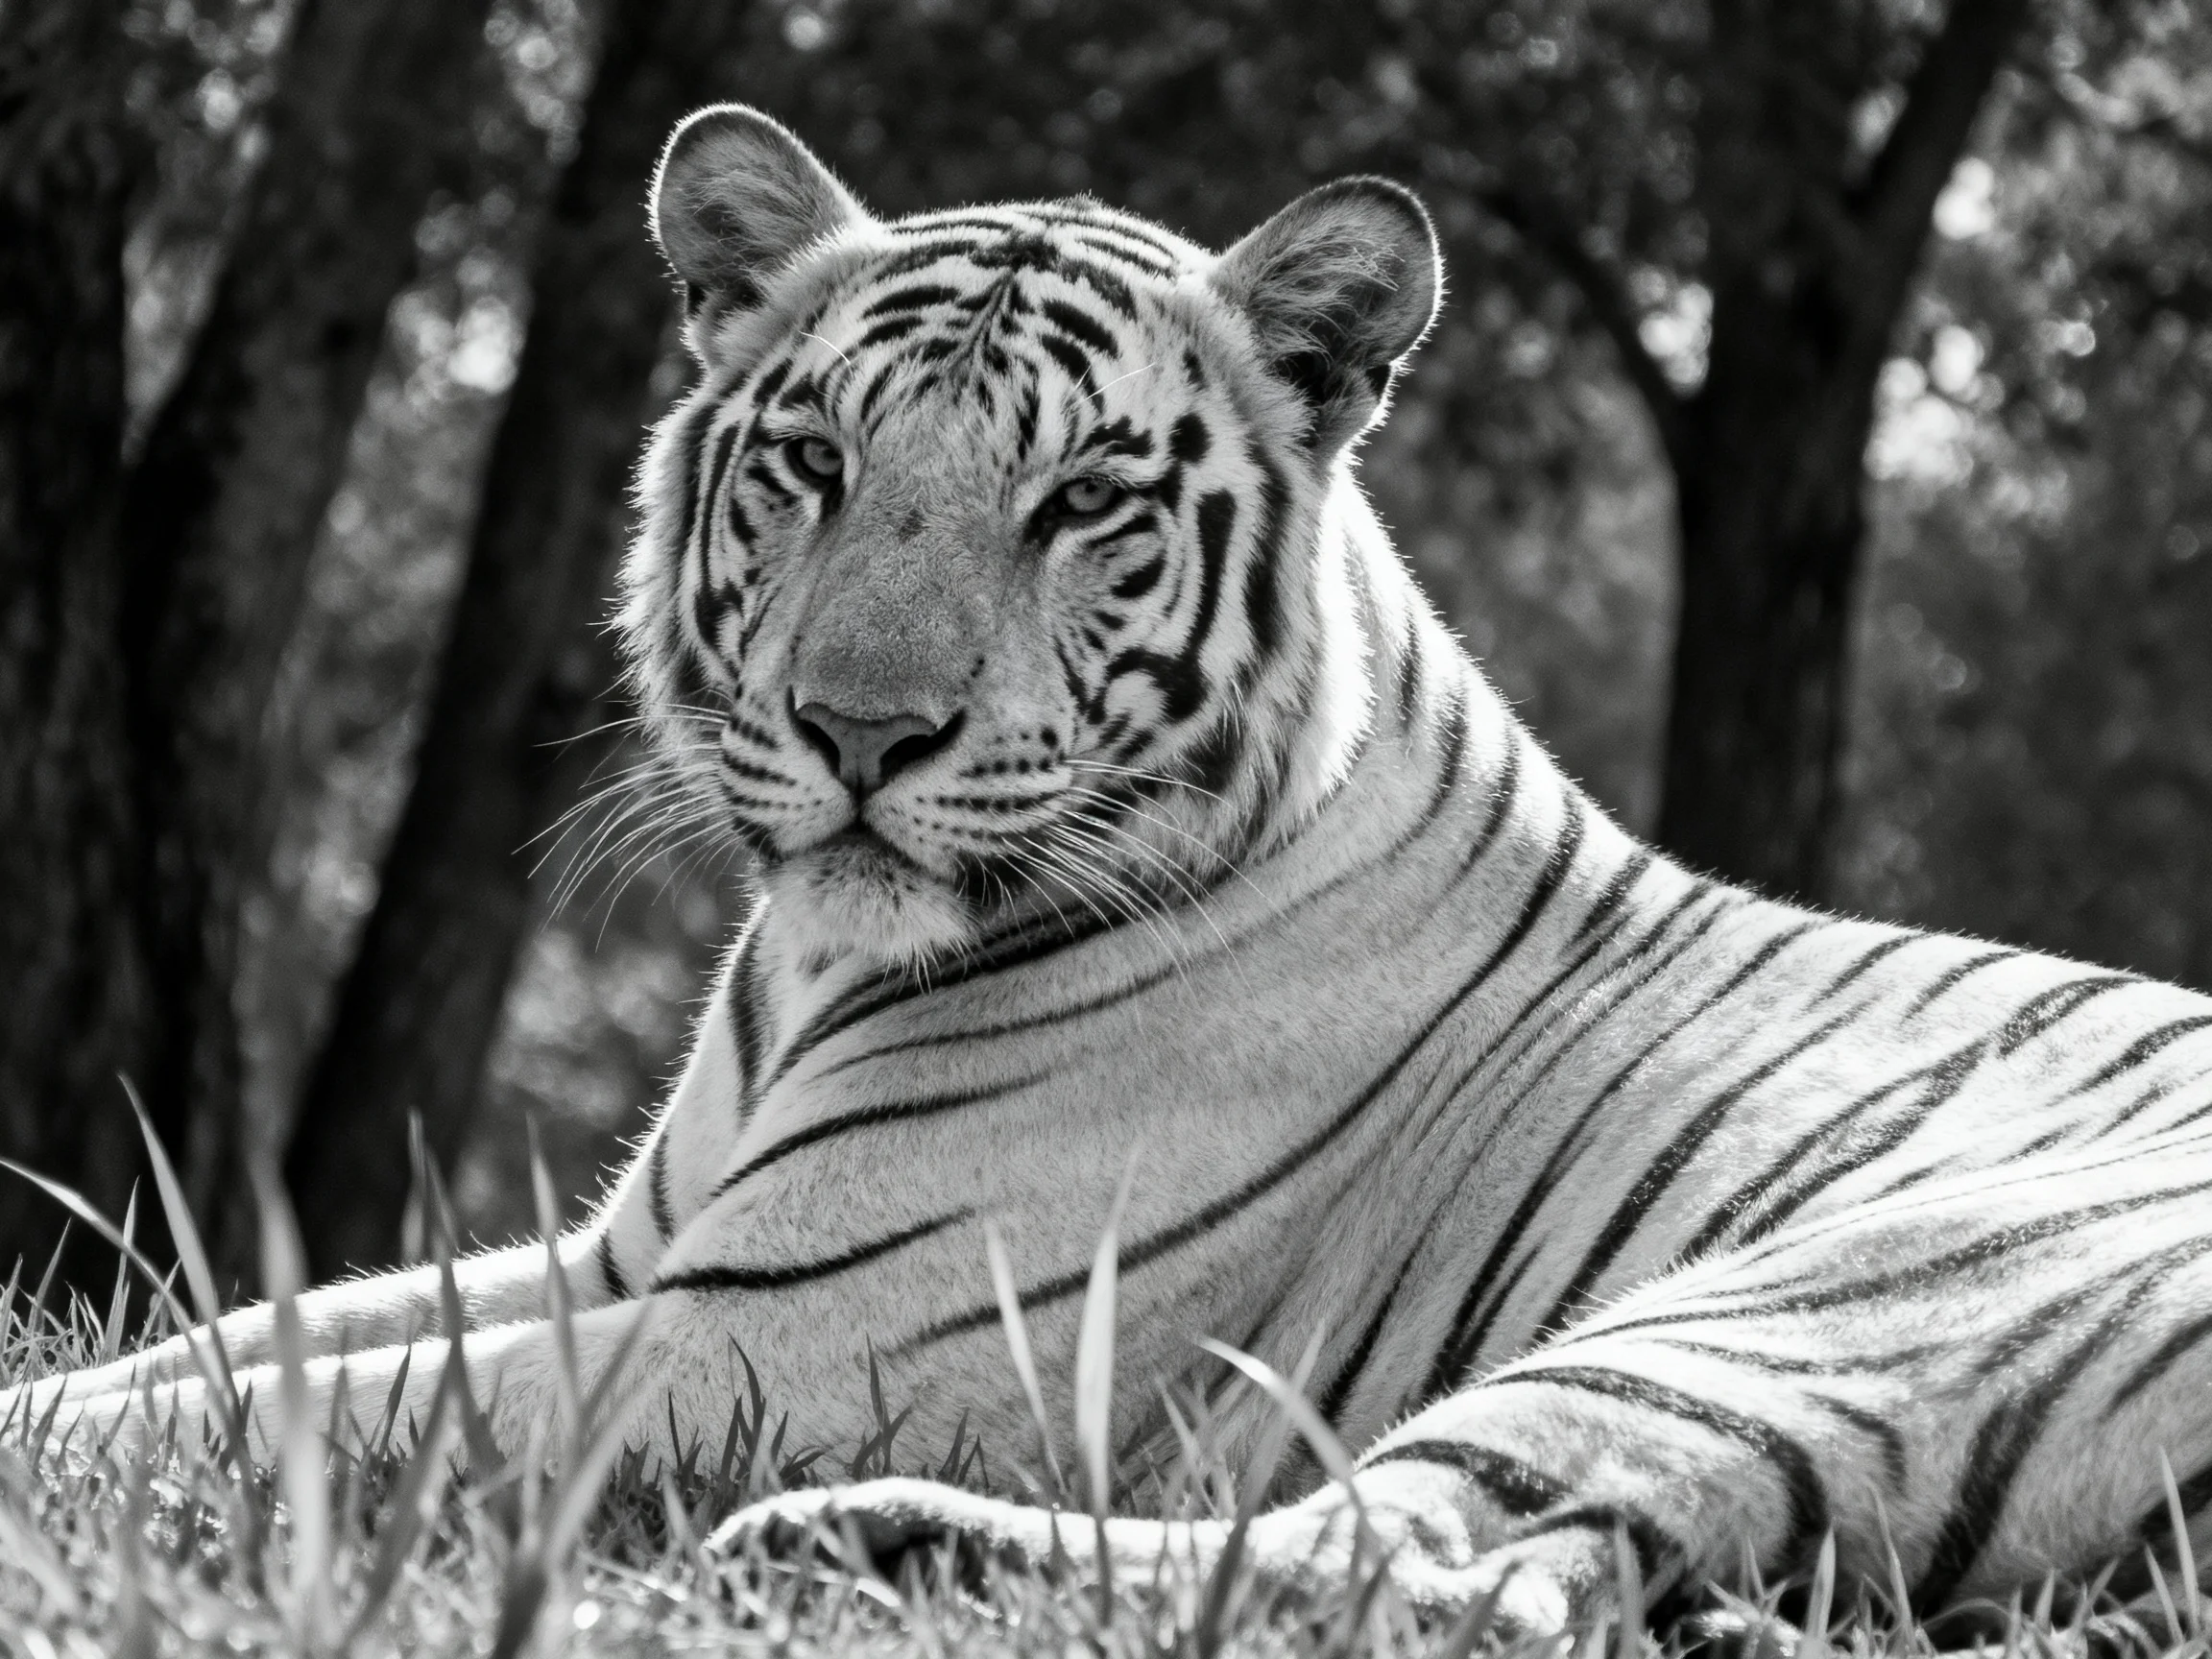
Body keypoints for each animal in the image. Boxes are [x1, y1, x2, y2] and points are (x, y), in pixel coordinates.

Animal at [20, 101, 2212, 1646]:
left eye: (1081, 503)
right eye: (812, 463)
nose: (862, 731)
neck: (812, 972)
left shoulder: (765, 1331)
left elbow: (234, 1410)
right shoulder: (624, 1254)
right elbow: (223, 1340)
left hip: (1826, 1296)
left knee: (1437, 1579)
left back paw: (840, 1549)